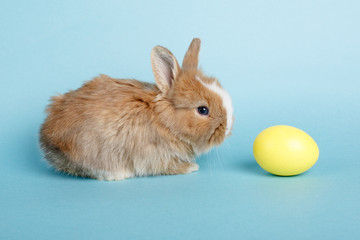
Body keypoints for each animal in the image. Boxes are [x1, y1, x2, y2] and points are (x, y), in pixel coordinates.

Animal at [39, 38, 233, 180]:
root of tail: (47, 136)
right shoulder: (155, 155)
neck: (164, 120)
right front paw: (191, 167)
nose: (228, 129)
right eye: (202, 110)